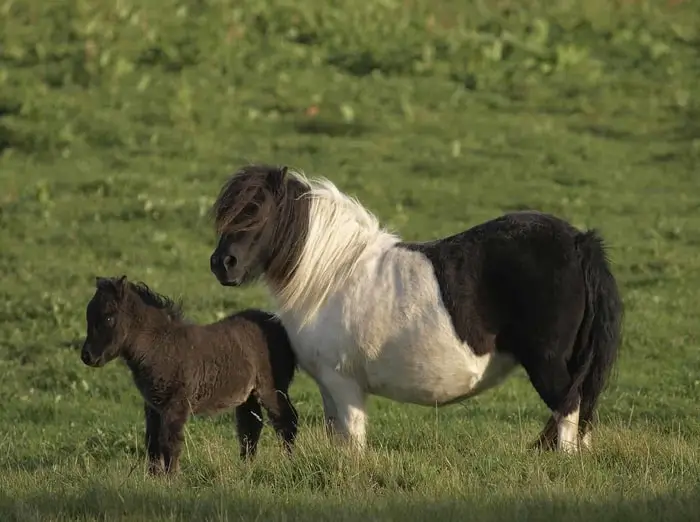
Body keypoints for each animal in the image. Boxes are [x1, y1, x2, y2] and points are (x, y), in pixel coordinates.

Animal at [208, 164, 624, 450]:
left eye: (258, 213)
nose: (221, 264)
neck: (331, 275)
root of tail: (578, 242)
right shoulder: (329, 386)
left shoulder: (344, 384)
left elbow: (352, 443)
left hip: (548, 364)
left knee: (567, 413)